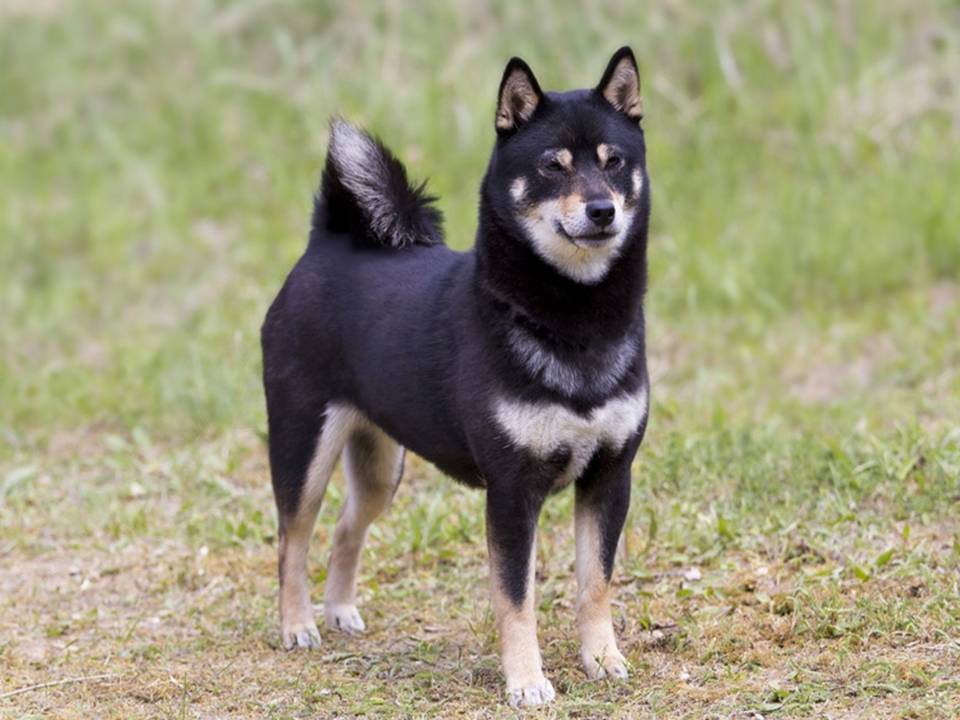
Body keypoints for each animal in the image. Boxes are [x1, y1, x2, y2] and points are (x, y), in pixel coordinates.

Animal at [262, 46, 652, 708]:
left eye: (614, 162)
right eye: (552, 167)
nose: (602, 209)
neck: (573, 320)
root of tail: (326, 243)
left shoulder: (609, 476)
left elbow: (594, 583)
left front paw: (602, 659)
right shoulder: (512, 492)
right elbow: (516, 599)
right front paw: (527, 682)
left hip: (380, 468)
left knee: (345, 528)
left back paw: (339, 610)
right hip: (302, 447)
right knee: (294, 538)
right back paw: (298, 625)